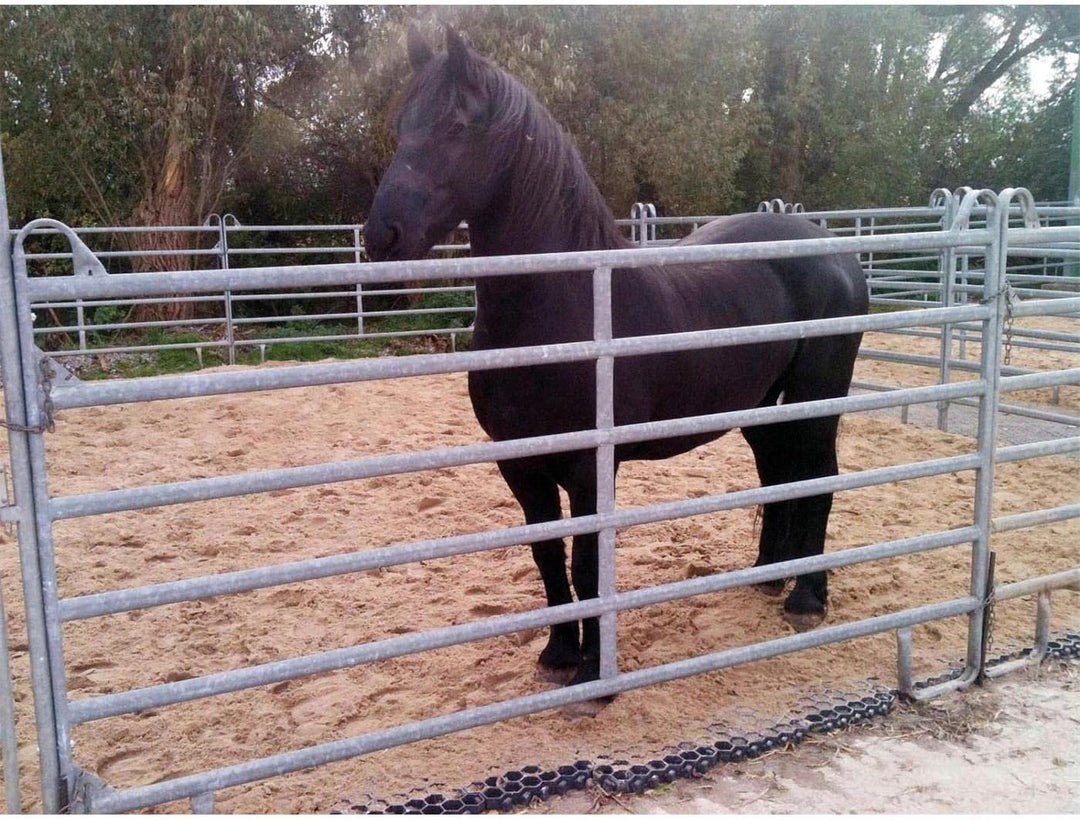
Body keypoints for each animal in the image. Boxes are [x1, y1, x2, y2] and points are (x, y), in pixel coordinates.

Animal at [364, 27, 869, 689]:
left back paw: (807, 597)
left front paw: (592, 674)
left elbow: (587, 565)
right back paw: (766, 577)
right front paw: (558, 655)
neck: (565, 307)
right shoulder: (521, 467)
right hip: (761, 407)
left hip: (816, 399)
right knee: (779, 475)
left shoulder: (589, 469)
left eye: (455, 125)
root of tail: (834, 250)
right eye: (402, 126)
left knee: (819, 478)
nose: (382, 235)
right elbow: (548, 558)